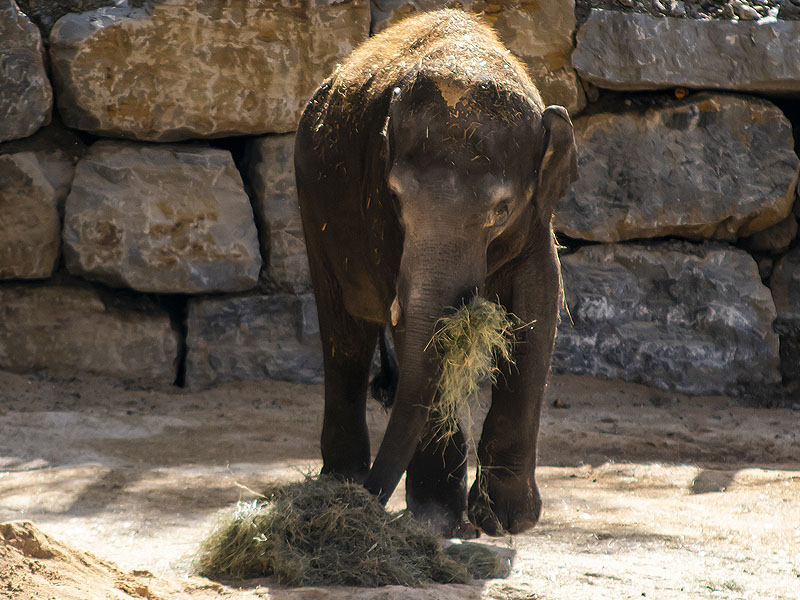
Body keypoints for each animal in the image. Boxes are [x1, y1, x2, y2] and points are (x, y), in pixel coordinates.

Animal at [294, 8, 576, 536]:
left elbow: (538, 300)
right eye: (397, 197)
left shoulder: (536, 216)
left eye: (501, 210)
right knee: (344, 334)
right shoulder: (378, 204)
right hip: (310, 199)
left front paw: (506, 520)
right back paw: (341, 481)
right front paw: (437, 522)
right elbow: (412, 328)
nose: (367, 505)